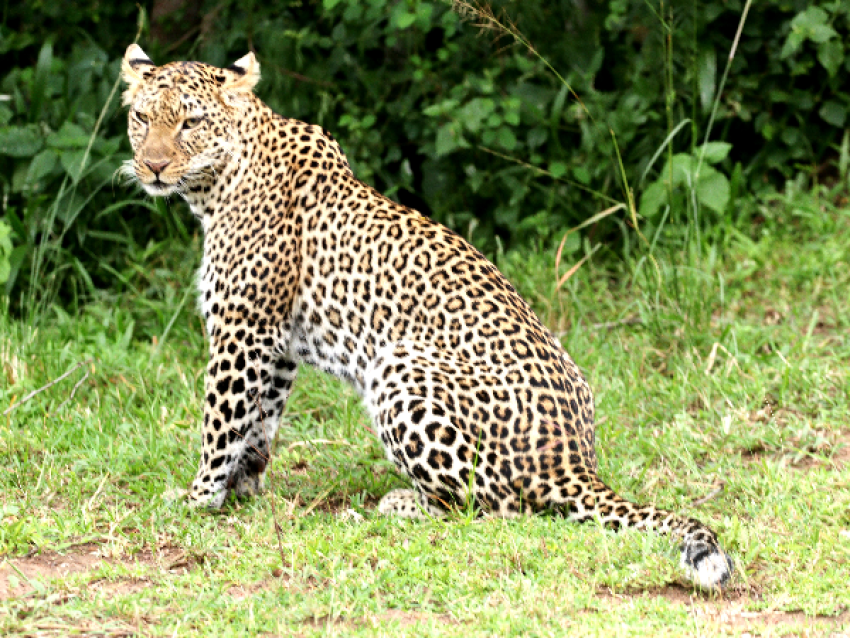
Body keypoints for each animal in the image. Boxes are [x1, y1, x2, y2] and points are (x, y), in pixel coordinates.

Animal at [121, 44, 734, 590]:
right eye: (142, 118)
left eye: (191, 123)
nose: (153, 166)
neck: (216, 186)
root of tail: (576, 464)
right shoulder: (275, 343)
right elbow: (258, 425)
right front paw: (240, 492)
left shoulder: (242, 330)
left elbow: (219, 422)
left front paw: (198, 498)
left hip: (399, 369)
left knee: (493, 507)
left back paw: (394, 505)